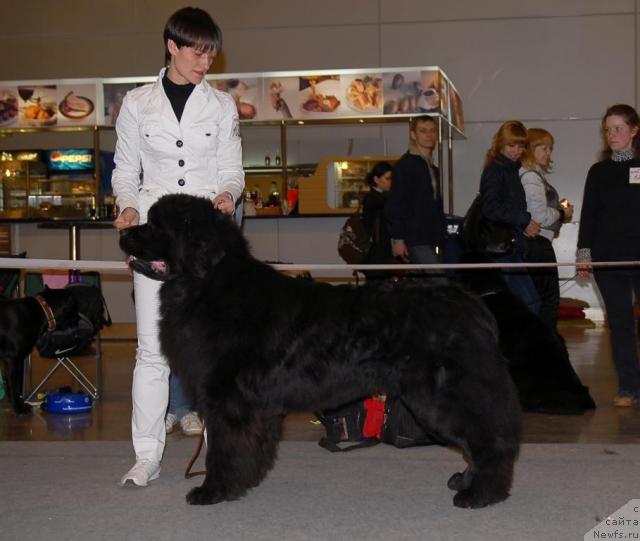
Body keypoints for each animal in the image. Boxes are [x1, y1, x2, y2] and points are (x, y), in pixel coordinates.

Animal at [0, 286, 78, 414]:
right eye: (76, 309)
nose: (79, 319)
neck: (43, 310)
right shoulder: (13, 359)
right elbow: (14, 386)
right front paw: (19, 409)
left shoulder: (16, 360)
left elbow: (14, 386)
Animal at [122, 193, 524, 506]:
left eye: (156, 226)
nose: (124, 232)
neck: (208, 282)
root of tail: (470, 304)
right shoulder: (252, 407)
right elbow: (250, 448)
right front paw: (243, 482)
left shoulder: (228, 399)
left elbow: (223, 448)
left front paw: (213, 491)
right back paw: (467, 482)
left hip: (444, 396)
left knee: (490, 440)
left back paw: (480, 494)